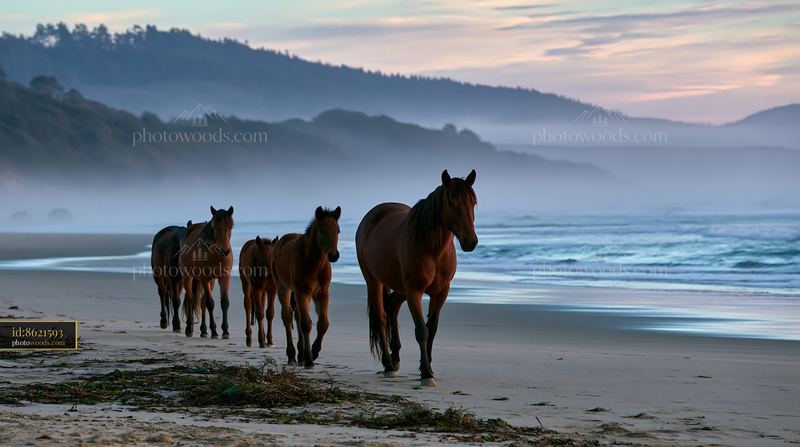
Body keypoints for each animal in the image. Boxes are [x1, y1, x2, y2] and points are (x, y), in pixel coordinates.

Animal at [180, 206, 234, 339]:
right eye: (215, 227)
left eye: (230, 226)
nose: (225, 251)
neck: (216, 254)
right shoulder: (204, 279)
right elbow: (210, 303)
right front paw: (214, 331)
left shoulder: (224, 278)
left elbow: (224, 303)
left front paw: (225, 331)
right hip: (188, 277)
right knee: (191, 298)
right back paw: (189, 328)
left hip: (212, 282)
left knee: (202, 301)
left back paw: (203, 330)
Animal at [272, 206, 341, 368]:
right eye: (321, 231)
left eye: (338, 231)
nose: (334, 255)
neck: (315, 265)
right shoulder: (302, 291)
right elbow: (306, 324)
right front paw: (309, 359)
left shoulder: (322, 293)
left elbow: (323, 324)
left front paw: (313, 352)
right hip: (283, 288)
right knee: (287, 316)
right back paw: (292, 355)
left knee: (296, 316)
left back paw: (300, 355)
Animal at [355, 169, 477, 386]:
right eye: (451, 203)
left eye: (473, 202)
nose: (470, 241)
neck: (433, 249)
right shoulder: (414, 291)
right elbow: (421, 331)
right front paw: (426, 374)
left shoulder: (441, 292)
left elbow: (432, 330)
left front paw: (427, 368)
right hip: (373, 281)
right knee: (381, 317)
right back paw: (388, 365)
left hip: (401, 287)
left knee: (392, 306)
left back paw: (395, 358)